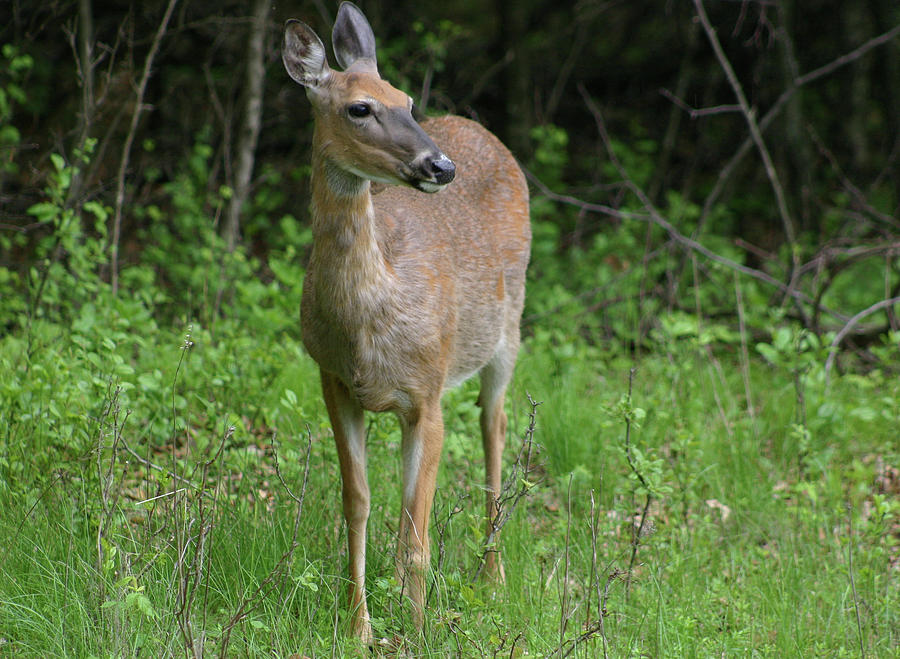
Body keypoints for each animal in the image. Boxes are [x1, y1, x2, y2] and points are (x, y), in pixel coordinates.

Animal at [284, 1, 532, 644]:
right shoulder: (334, 382)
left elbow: (419, 538)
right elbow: (359, 505)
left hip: (508, 330)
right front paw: (361, 628)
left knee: (495, 428)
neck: (367, 325)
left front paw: (418, 633)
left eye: (407, 100)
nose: (439, 165)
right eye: (359, 108)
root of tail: (479, 129)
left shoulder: (428, 391)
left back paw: (492, 574)